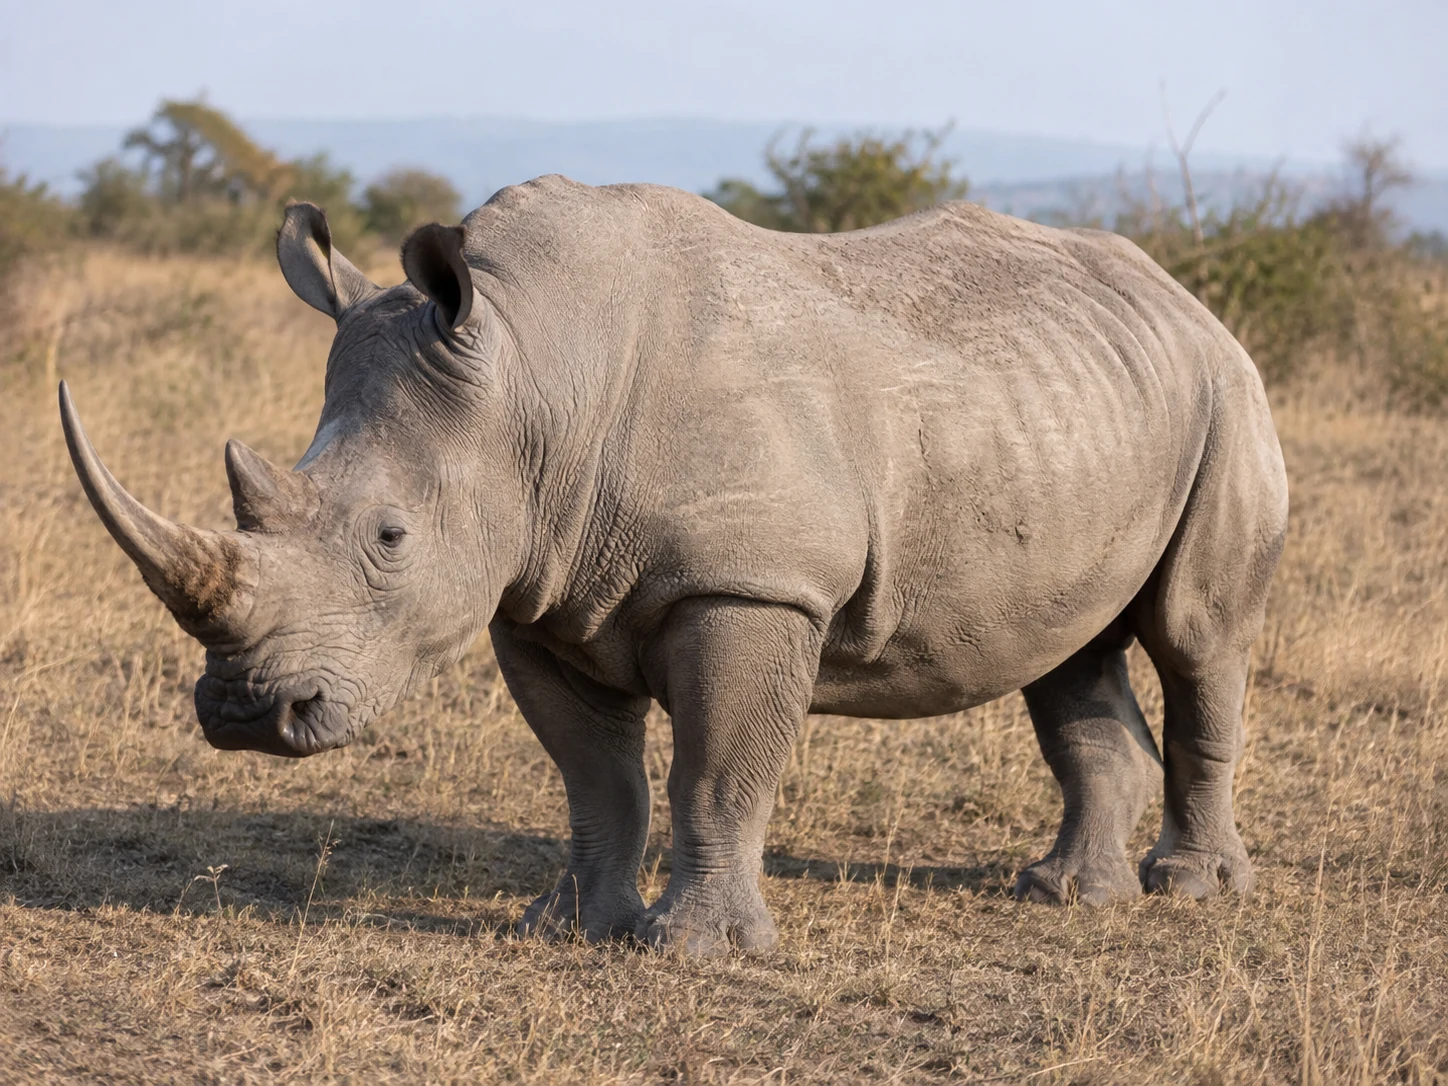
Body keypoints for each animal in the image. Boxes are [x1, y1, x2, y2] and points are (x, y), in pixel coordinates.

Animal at [60, 176, 1288, 954]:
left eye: (389, 538)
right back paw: (1066, 897)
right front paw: (566, 930)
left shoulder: (748, 583)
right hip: (1079, 409)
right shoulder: (538, 592)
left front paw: (697, 952)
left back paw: (1190, 891)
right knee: (1064, 650)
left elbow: (718, 767)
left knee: (1196, 635)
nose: (243, 714)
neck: (535, 372)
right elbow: (594, 777)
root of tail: (1184, 297)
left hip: (1228, 392)